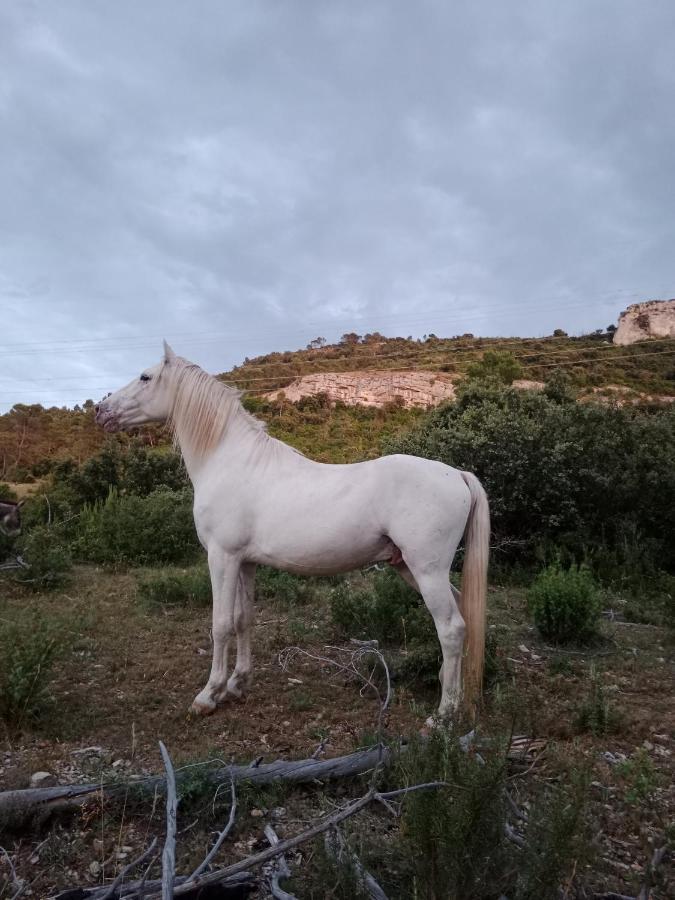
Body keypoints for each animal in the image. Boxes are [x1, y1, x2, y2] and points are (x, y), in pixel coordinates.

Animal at [95, 342, 488, 716]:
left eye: (146, 377)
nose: (100, 411)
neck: (230, 462)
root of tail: (458, 475)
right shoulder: (245, 562)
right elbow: (244, 620)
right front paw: (237, 684)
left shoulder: (222, 557)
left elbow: (220, 624)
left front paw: (208, 695)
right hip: (409, 566)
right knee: (460, 617)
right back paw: (452, 688)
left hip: (426, 569)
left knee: (451, 628)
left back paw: (443, 715)